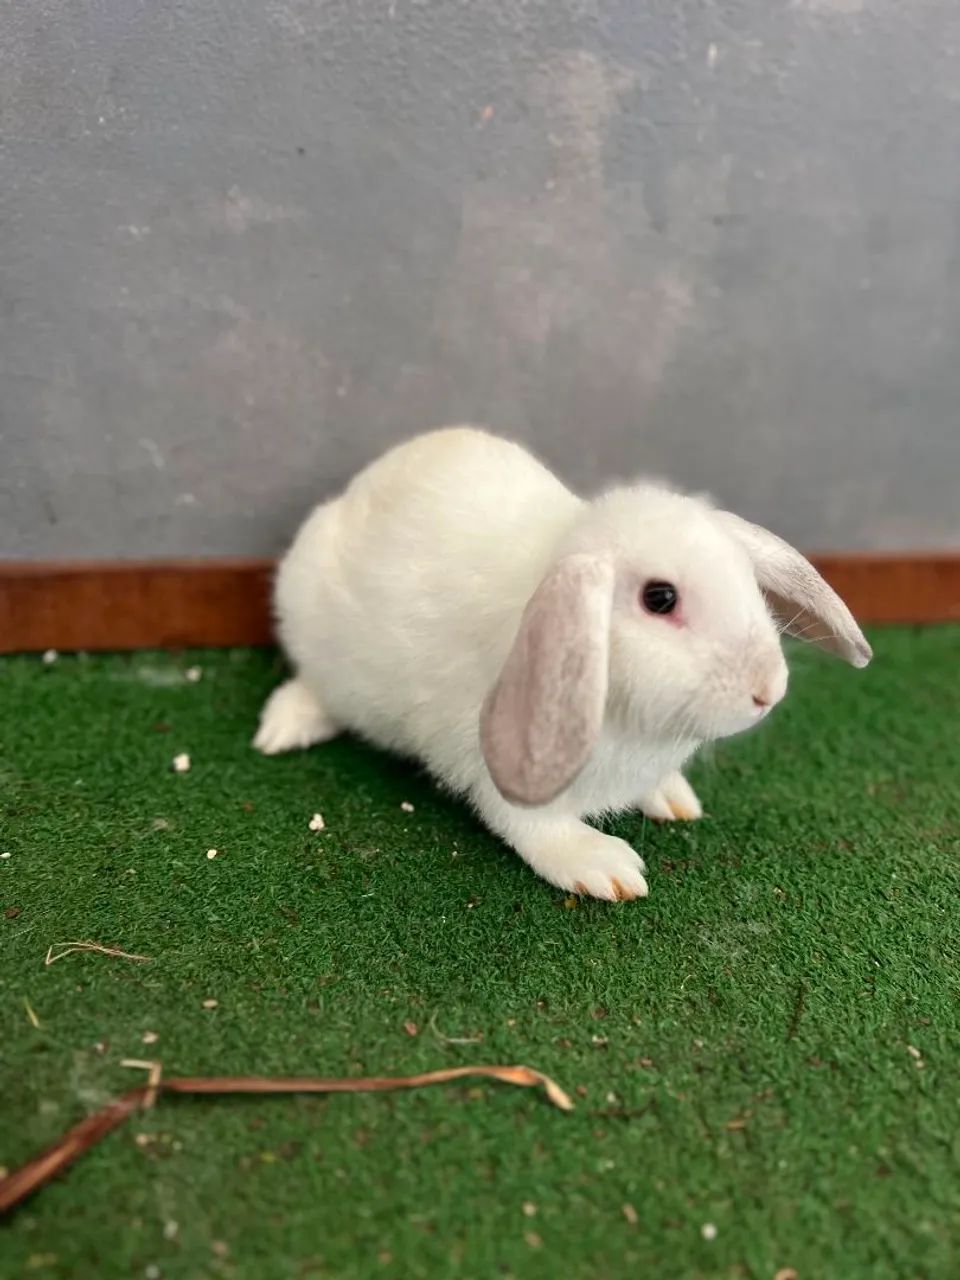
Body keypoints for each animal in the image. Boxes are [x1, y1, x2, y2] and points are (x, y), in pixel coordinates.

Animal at [255, 426, 871, 900]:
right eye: (660, 598)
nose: (768, 690)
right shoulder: (493, 764)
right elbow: (534, 825)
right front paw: (604, 867)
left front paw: (673, 798)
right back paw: (282, 730)